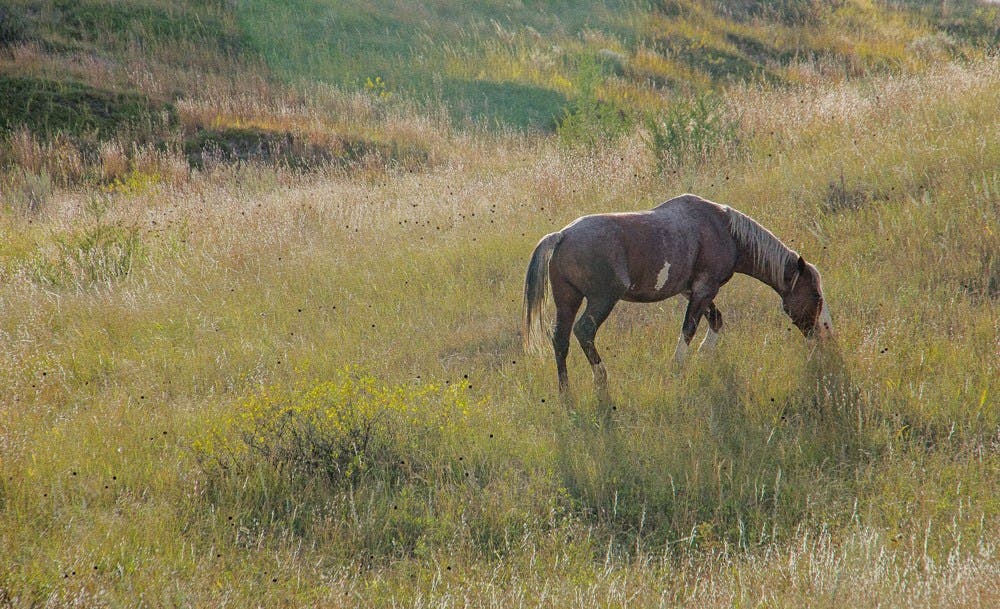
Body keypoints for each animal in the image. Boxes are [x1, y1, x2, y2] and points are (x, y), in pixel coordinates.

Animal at [520, 194, 832, 400]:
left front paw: (706, 357)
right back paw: (601, 380)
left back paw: (565, 392)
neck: (725, 229)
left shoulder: (693, 291)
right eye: (816, 295)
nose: (824, 334)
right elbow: (689, 329)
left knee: (560, 339)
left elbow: (715, 321)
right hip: (601, 300)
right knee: (583, 331)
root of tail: (561, 235)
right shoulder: (705, 289)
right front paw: (678, 367)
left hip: (567, 300)